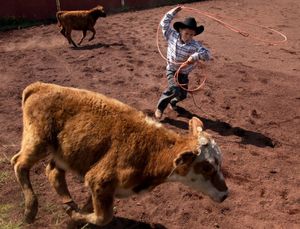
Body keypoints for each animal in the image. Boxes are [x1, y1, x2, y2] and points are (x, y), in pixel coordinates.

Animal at [10, 82, 229, 225]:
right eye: (207, 167)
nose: (226, 194)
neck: (153, 152)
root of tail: (40, 86)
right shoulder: (99, 179)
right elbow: (103, 217)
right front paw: (76, 216)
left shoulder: (100, 187)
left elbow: (91, 209)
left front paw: (75, 217)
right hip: (38, 141)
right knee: (18, 163)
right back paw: (30, 210)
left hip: (63, 152)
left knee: (52, 171)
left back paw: (67, 201)